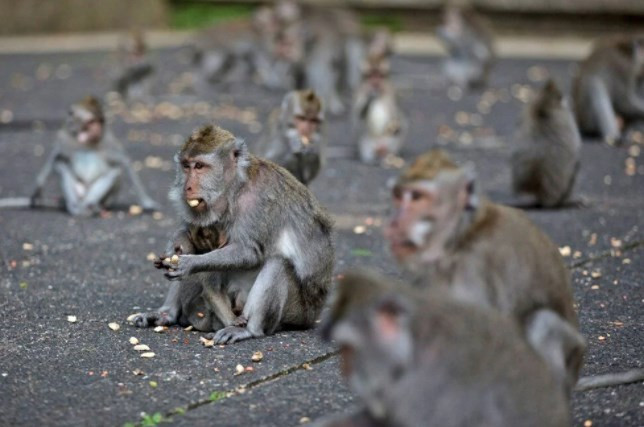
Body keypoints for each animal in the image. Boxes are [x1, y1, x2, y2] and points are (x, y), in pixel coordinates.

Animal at [26, 97, 160, 217]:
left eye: (100, 121)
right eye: (91, 122)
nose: (97, 129)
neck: (86, 143)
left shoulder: (108, 142)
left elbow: (124, 161)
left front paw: (147, 202)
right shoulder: (64, 138)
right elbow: (55, 155)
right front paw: (37, 190)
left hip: (105, 199)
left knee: (114, 172)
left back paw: (90, 205)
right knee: (61, 166)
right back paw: (75, 206)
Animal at [130, 124, 332, 344]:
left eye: (199, 166)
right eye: (186, 166)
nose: (187, 187)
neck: (236, 187)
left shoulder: (256, 201)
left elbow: (248, 251)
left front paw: (189, 263)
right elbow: (188, 232)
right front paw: (175, 248)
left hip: (297, 312)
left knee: (278, 264)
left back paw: (249, 330)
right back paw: (167, 314)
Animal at [384, 150, 588, 394]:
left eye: (417, 197)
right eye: (398, 195)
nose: (394, 222)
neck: (462, 236)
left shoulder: (474, 269)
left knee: (543, 322)